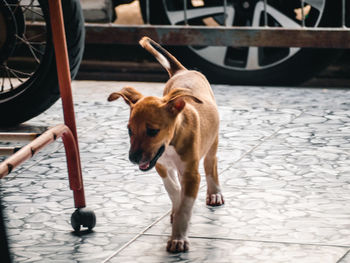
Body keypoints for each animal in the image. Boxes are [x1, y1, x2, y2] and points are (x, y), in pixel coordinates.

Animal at [108, 37, 224, 254]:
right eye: (129, 130)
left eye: (153, 131)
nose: (133, 158)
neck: (171, 143)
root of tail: (182, 71)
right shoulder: (161, 167)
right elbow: (174, 191)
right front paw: (175, 210)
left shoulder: (191, 174)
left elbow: (185, 207)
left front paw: (178, 239)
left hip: (213, 142)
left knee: (211, 164)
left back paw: (215, 193)